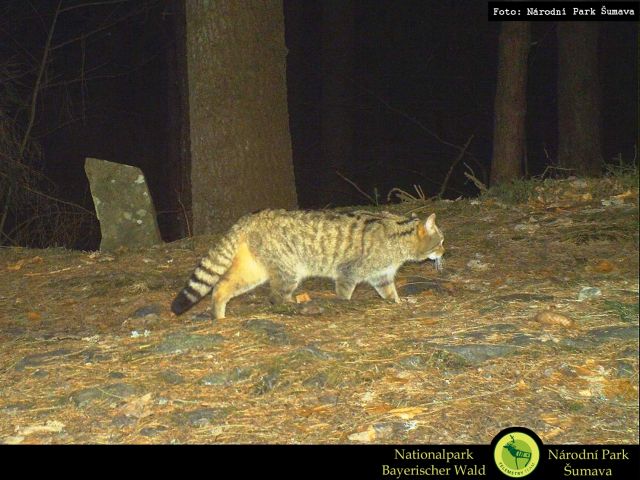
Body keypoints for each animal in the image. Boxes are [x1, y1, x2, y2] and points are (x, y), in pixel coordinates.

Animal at [170, 209, 444, 318]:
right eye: (441, 240)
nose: (445, 250)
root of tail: (251, 217)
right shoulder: (348, 272)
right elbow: (345, 292)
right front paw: (344, 304)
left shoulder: (381, 276)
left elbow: (390, 293)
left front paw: (398, 302)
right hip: (288, 269)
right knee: (275, 297)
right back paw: (293, 307)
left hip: (253, 269)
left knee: (221, 287)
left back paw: (219, 316)